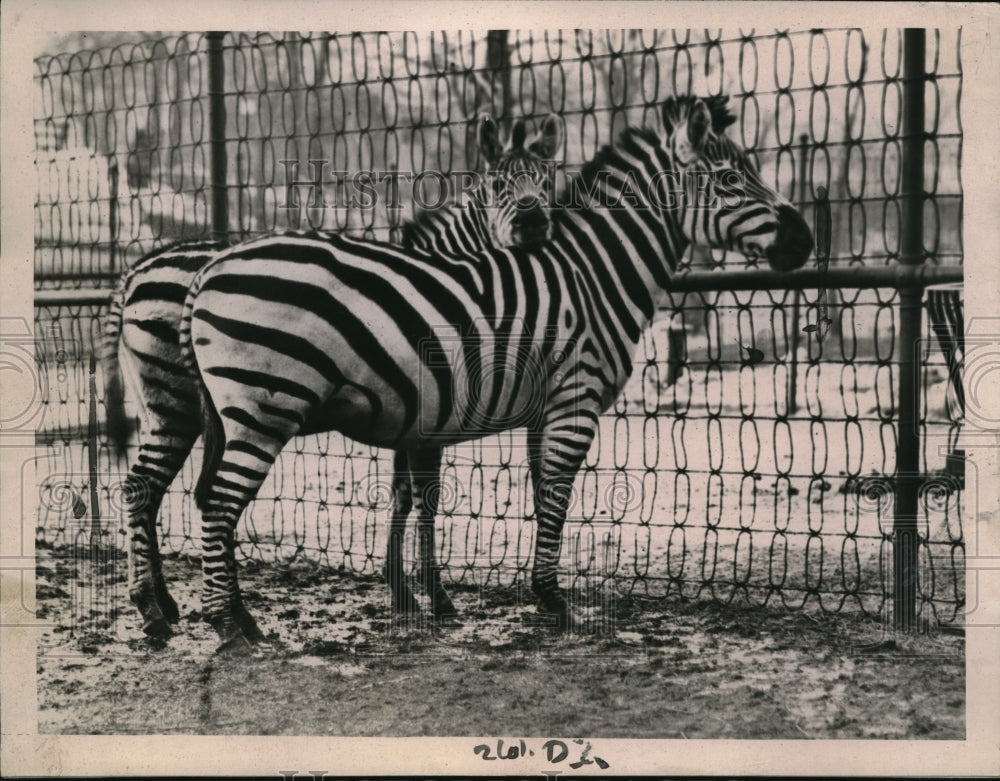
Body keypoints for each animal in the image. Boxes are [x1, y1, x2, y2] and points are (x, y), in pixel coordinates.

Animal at [103, 113, 563, 639]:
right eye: (495, 186)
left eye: (547, 182)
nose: (534, 222)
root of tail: (136, 271)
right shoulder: (430, 409)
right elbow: (421, 498)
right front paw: (429, 598)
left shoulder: (416, 411)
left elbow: (404, 497)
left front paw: (405, 594)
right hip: (180, 403)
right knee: (151, 489)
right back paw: (163, 609)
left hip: (166, 408)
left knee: (144, 488)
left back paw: (159, 606)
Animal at [181, 94, 814, 653]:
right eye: (730, 179)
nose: (805, 240)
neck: (594, 276)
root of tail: (213, 263)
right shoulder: (574, 401)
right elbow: (555, 496)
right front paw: (556, 603)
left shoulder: (535, 410)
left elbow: (526, 495)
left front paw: (516, 597)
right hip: (266, 407)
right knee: (220, 501)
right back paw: (229, 628)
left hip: (236, 413)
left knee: (209, 497)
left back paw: (237, 618)